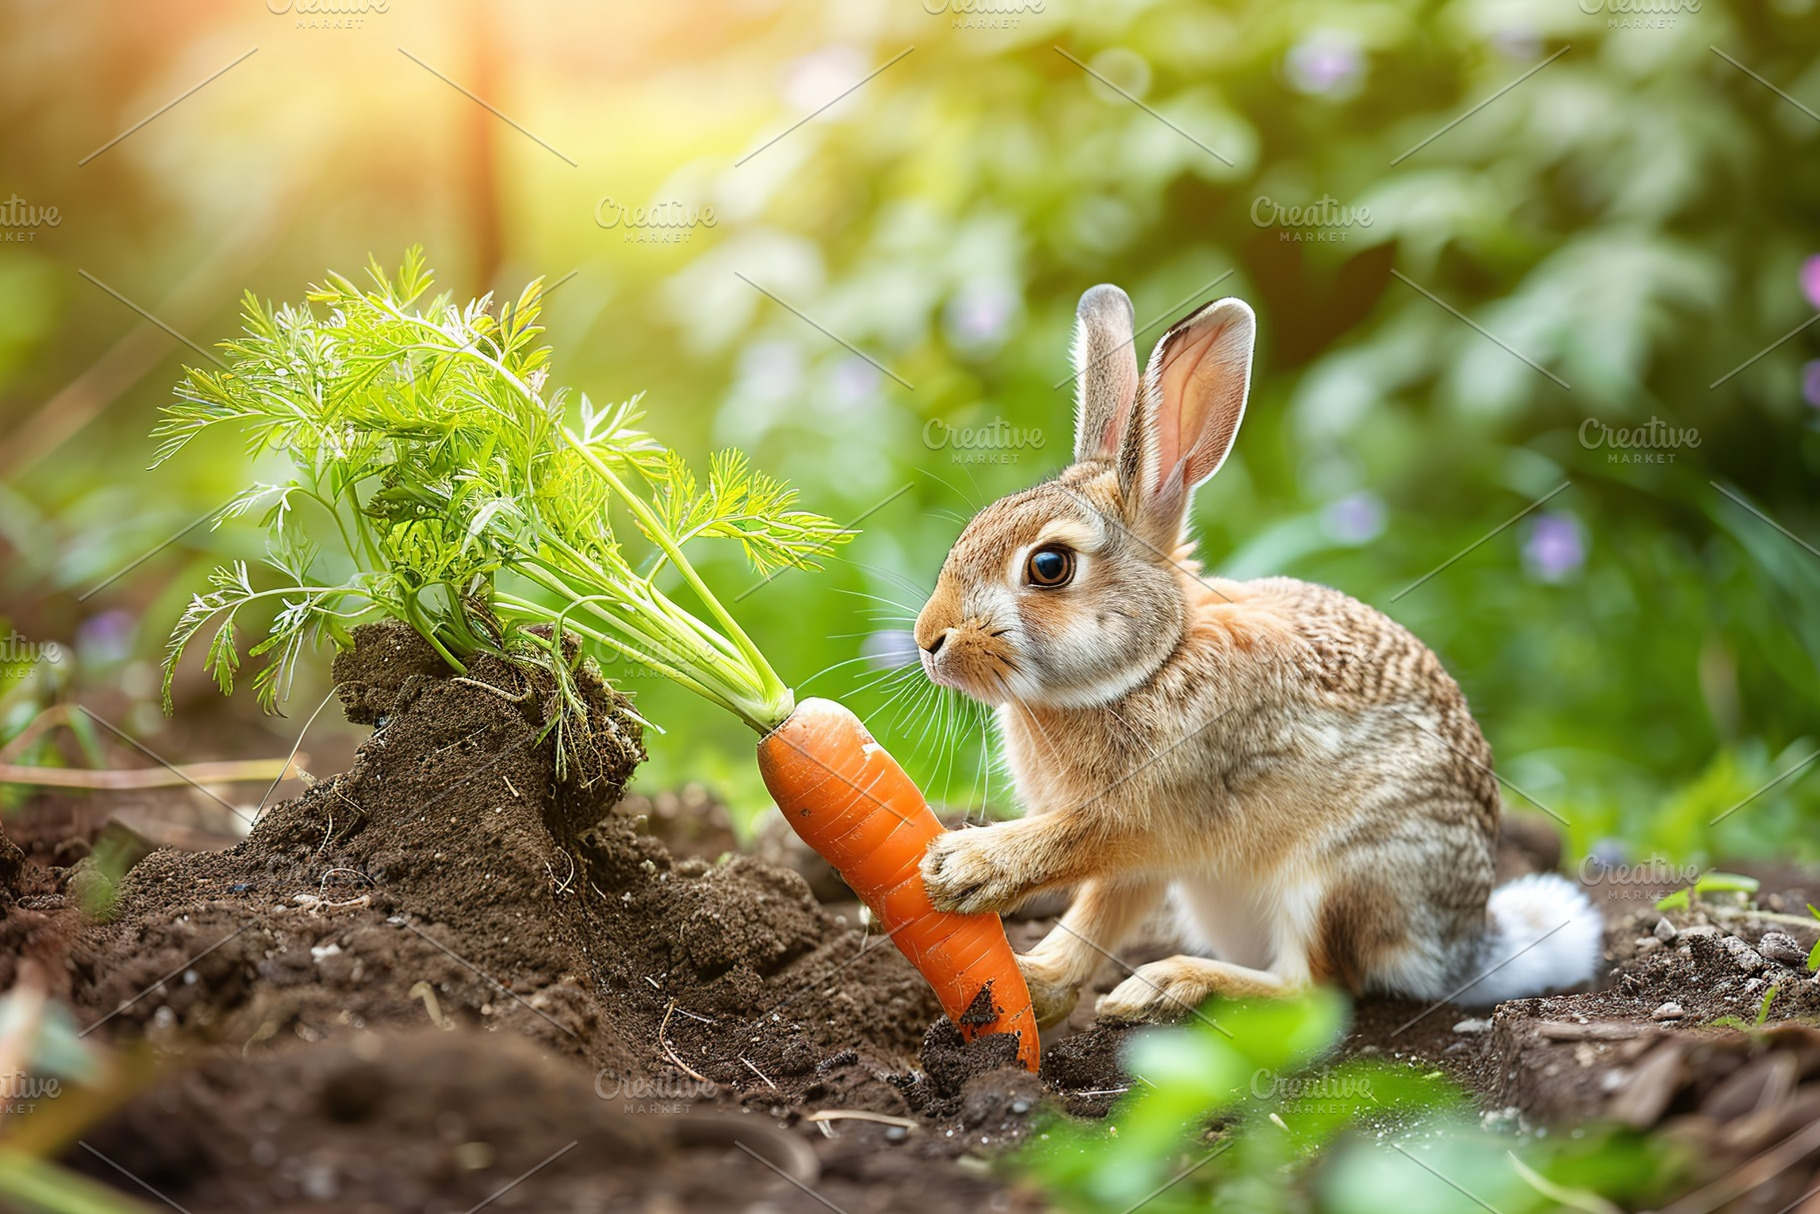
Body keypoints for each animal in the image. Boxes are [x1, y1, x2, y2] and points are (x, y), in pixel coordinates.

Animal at [913, 284, 1602, 1027]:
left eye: (1049, 566)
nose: (929, 640)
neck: (1153, 662)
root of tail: (1461, 948)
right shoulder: (1145, 861)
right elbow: (1096, 917)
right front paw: (1033, 981)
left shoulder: (1141, 815)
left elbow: (1068, 846)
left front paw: (963, 869)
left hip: (1336, 874)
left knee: (1315, 994)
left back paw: (1172, 983)